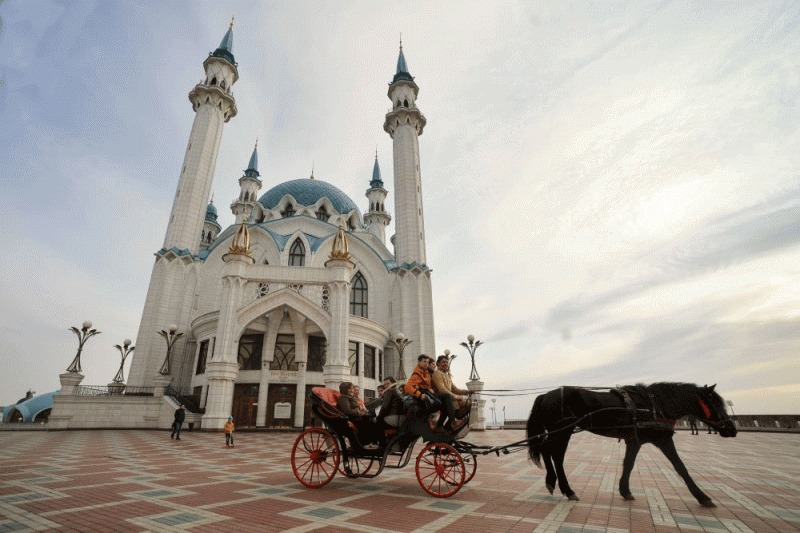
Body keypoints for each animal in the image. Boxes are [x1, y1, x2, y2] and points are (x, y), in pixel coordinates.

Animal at [524, 382, 736, 508]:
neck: (654, 405)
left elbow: (628, 464)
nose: (732, 429)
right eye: (717, 404)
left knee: (548, 453)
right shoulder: (664, 439)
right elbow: (680, 466)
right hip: (563, 431)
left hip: (560, 432)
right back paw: (566, 489)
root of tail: (544, 395)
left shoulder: (634, 441)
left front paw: (625, 491)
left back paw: (554, 483)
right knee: (555, 456)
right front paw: (703, 497)